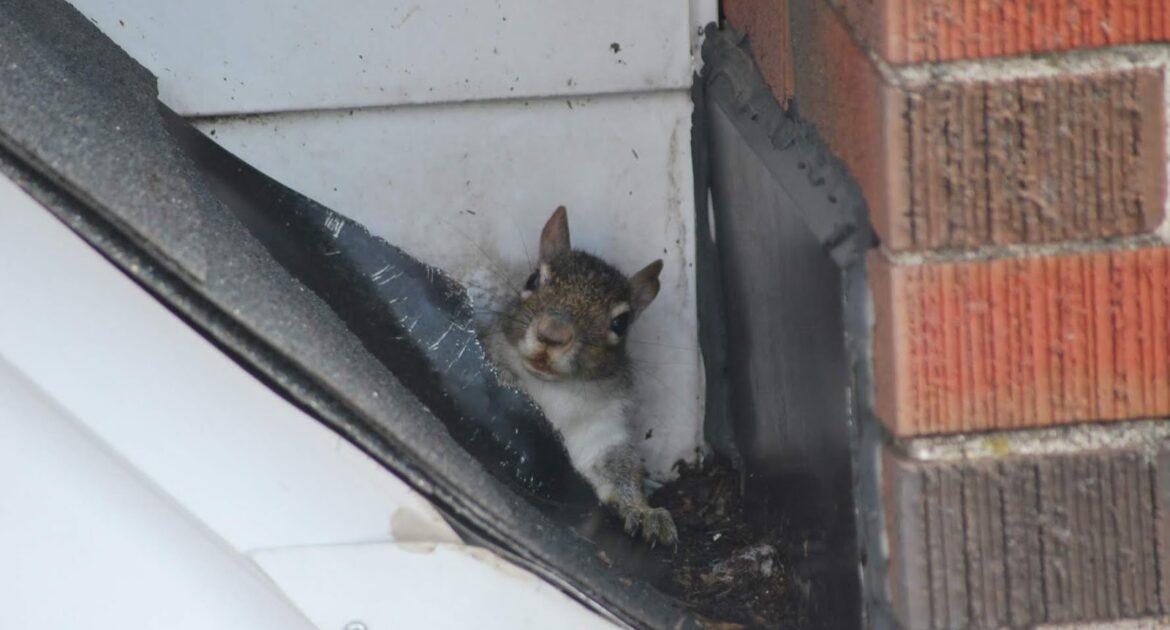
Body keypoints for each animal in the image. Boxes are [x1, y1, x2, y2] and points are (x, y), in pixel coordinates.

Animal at [477, 203, 678, 541]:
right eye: (532, 279)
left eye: (621, 323)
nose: (552, 334)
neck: (553, 391)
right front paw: (505, 376)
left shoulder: (603, 431)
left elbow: (621, 470)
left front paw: (643, 511)